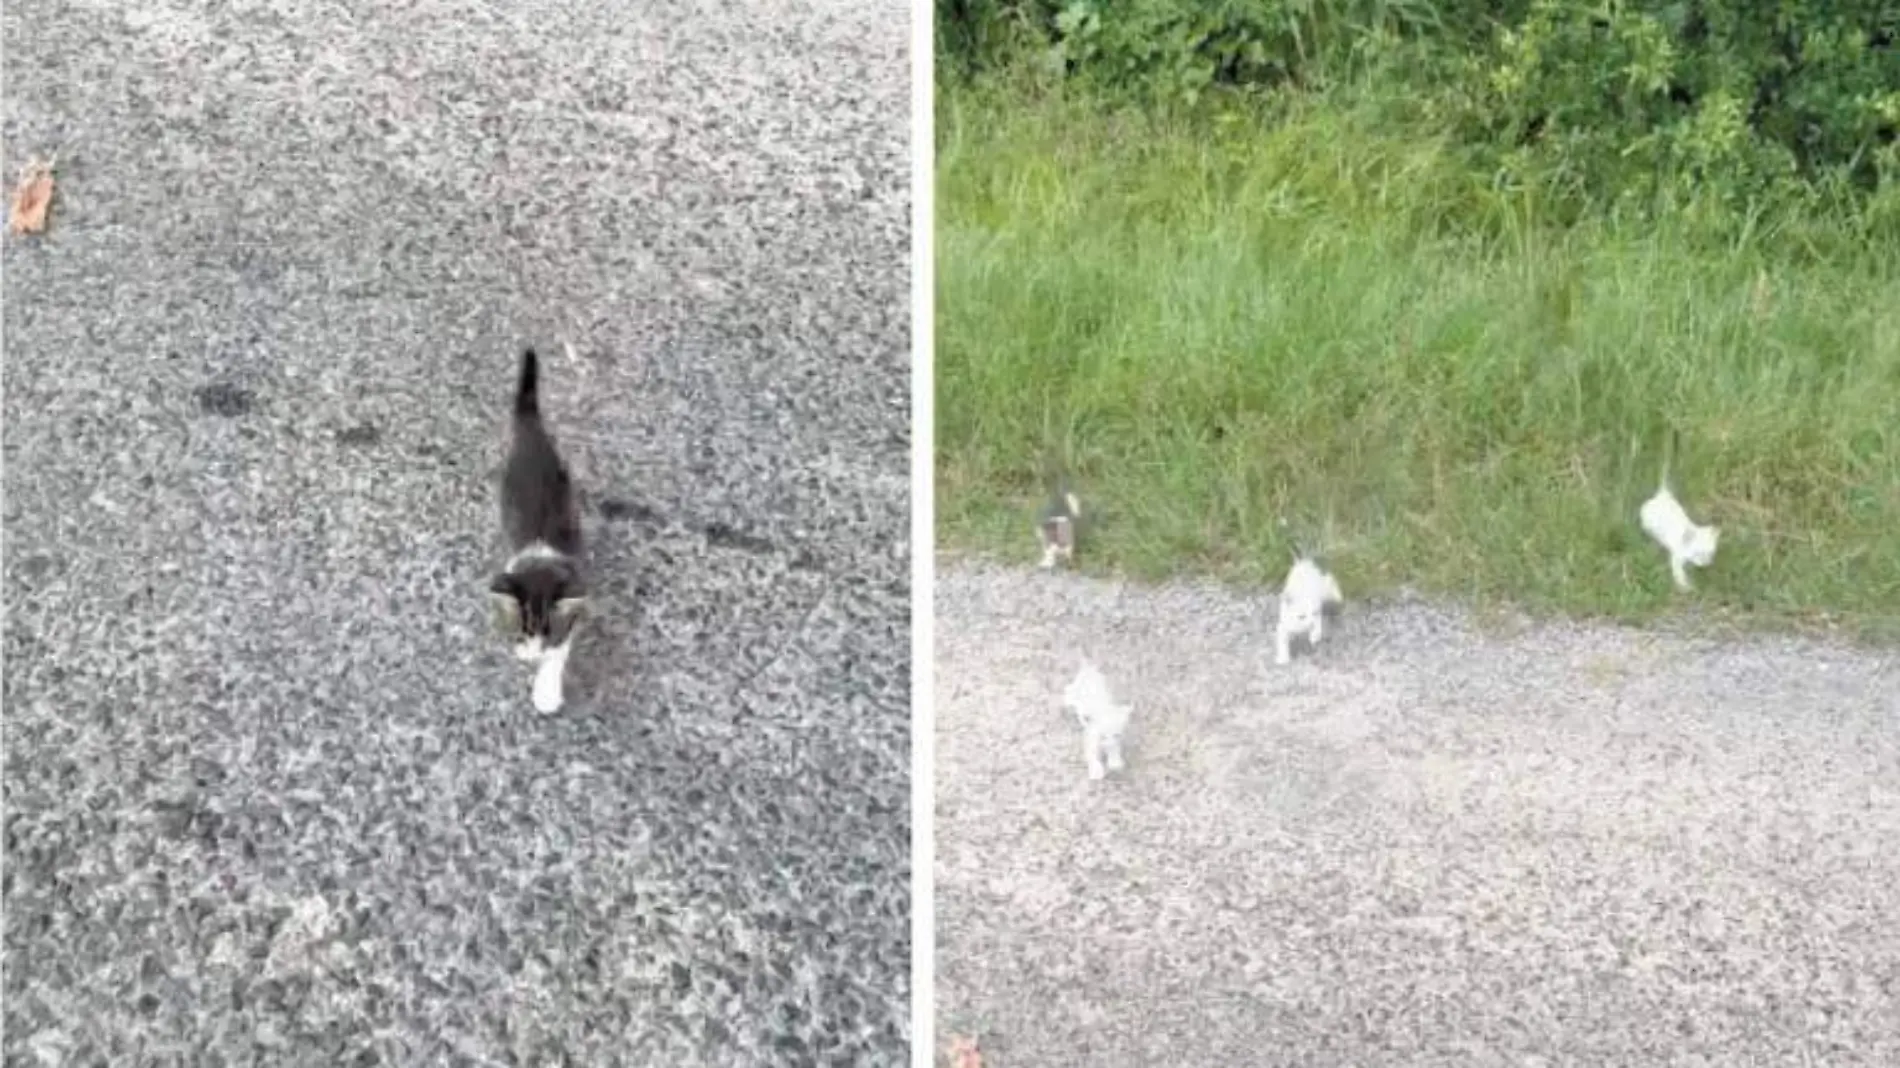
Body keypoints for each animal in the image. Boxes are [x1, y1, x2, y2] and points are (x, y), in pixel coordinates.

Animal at [482, 349, 585, 710]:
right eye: (525, 632)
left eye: (547, 634)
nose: (534, 652)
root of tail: (529, 423)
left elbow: (561, 648)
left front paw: (546, 691)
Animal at [1634, 425, 1725, 589]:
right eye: (1698, 553)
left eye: (1709, 554)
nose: (1705, 564)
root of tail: (1663, 493)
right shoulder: (1676, 556)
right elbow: (1680, 575)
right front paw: (1686, 587)